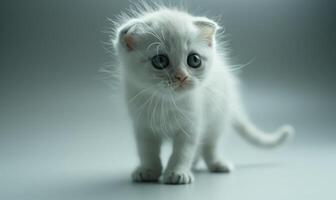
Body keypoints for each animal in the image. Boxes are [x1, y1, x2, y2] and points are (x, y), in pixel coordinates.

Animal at [111, 4, 294, 184]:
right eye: (160, 60)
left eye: (194, 60)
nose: (182, 76)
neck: (167, 102)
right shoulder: (143, 126)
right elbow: (147, 151)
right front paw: (148, 170)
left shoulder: (192, 124)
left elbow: (183, 151)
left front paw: (177, 172)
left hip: (217, 118)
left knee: (210, 146)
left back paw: (216, 164)